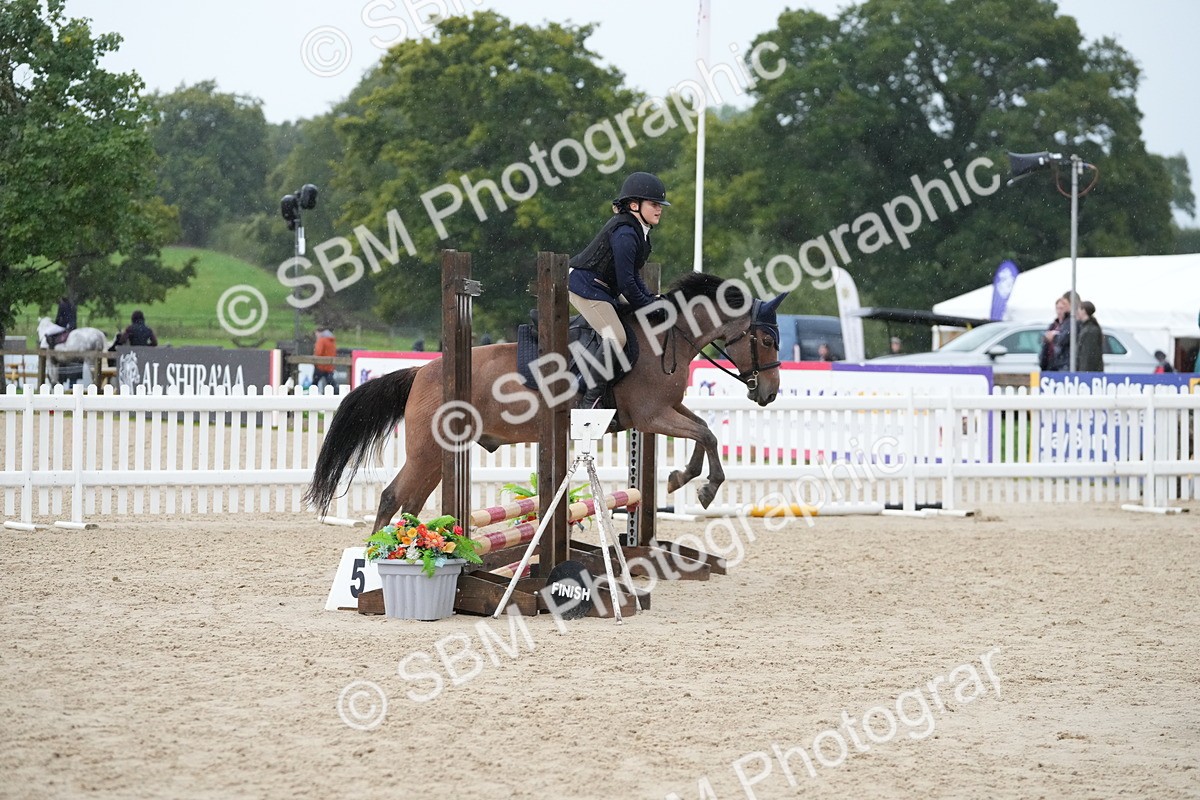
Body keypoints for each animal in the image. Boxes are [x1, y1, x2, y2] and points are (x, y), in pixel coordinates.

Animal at [306, 273, 787, 532]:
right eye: (765, 339)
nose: (769, 392)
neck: (665, 339)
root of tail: (420, 372)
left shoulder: (659, 413)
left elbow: (704, 430)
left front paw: (680, 478)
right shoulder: (651, 415)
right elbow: (705, 433)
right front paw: (704, 487)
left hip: (441, 454)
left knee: (408, 502)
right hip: (430, 450)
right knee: (393, 498)